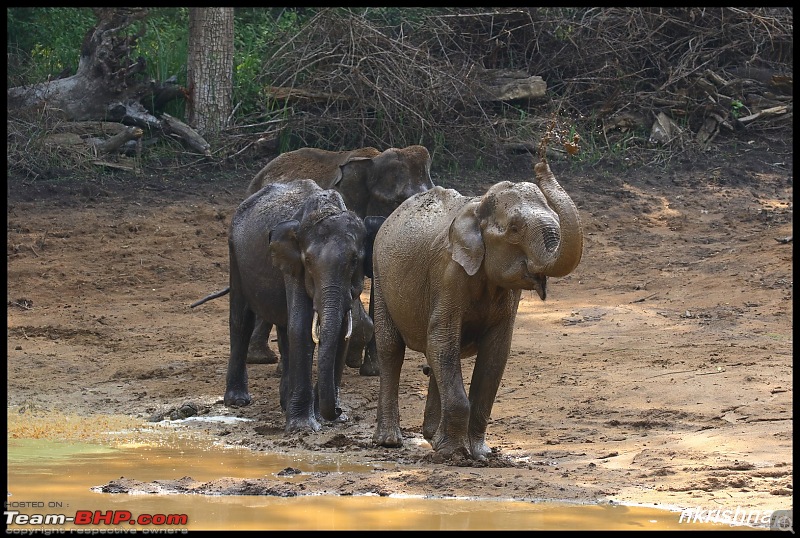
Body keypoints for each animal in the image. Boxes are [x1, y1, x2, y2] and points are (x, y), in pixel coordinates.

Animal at [225, 180, 384, 432]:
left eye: (354, 261)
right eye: (308, 261)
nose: (339, 410)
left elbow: (341, 332)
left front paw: (327, 418)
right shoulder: (294, 268)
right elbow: (301, 326)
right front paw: (303, 427)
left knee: (283, 328)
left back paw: (284, 404)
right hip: (234, 255)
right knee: (241, 320)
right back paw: (238, 400)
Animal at [245, 144, 434, 374]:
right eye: (396, 202)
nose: (425, 370)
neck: (372, 161)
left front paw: (371, 370)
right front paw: (353, 359)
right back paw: (264, 359)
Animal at [372, 158, 584, 456]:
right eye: (514, 229)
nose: (541, 165)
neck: (478, 206)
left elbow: (494, 353)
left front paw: (480, 454)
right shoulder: (448, 275)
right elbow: (442, 338)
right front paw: (454, 455)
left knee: (435, 353)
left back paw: (432, 438)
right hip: (379, 275)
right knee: (392, 348)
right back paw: (390, 441)